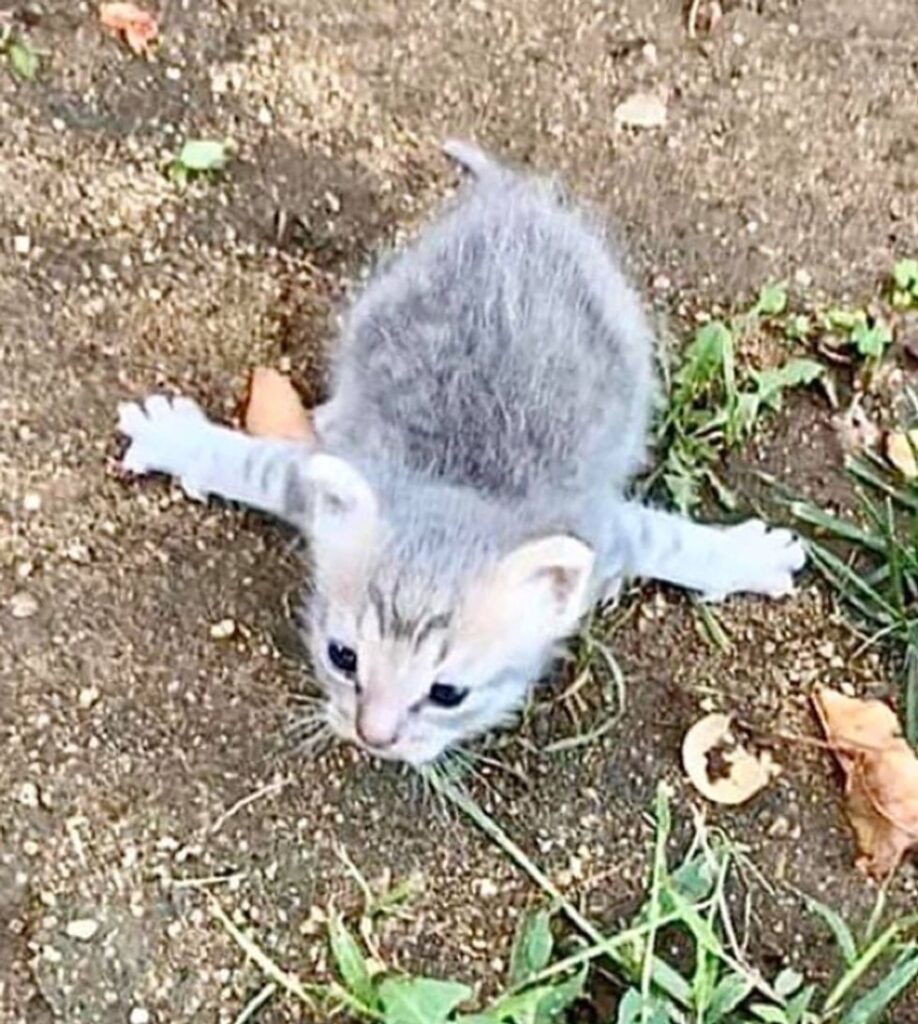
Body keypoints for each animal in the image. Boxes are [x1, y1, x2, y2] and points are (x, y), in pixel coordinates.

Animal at [119, 144, 803, 770]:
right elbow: (257, 465)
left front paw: (749, 555)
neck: (463, 484)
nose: (373, 736)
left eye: (448, 693)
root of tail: (514, 200)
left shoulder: (600, 527)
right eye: (343, 656)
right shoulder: (336, 469)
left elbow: (669, 540)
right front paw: (177, 438)